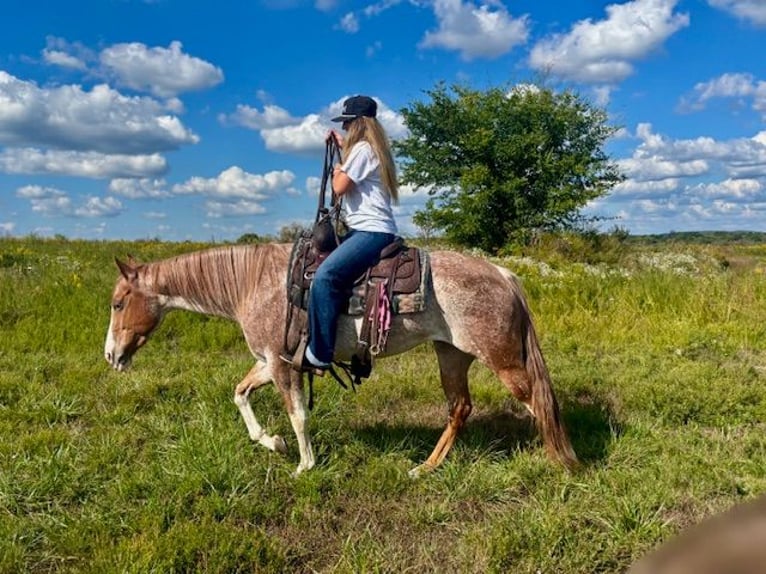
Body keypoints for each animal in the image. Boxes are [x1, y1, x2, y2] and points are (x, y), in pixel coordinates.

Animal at [103, 243, 578, 476]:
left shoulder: (282, 365)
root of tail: (503, 274)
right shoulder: (271, 362)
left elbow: (297, 415)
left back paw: (560, 462)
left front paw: (304, 465)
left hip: (503, 361)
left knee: (537, 402)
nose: (110, 356)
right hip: (452, 356)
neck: (252, 282)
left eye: (117, 303)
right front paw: (272, 443)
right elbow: (239, 394)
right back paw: (425, 468)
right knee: (460, 408)